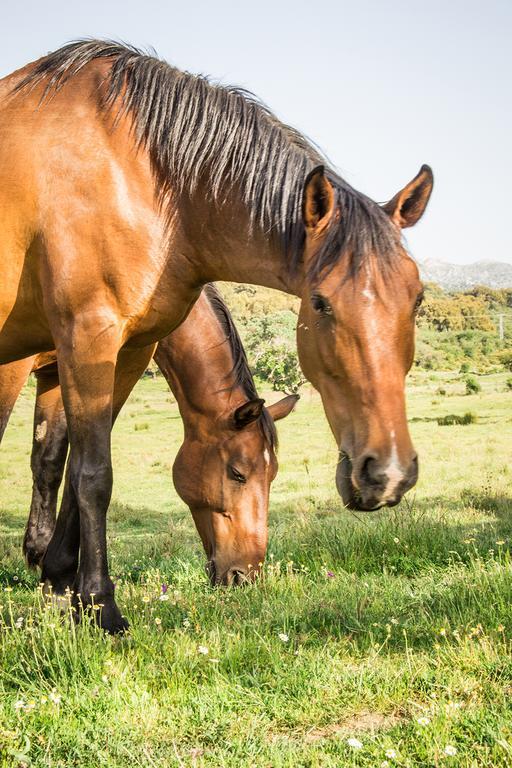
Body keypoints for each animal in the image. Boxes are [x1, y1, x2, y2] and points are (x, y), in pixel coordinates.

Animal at [0, 288, 296, 588]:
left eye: (272, 475)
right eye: (237, 474)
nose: (244, 576)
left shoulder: (57, 373)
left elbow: (51, 462)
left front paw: (42, 556)